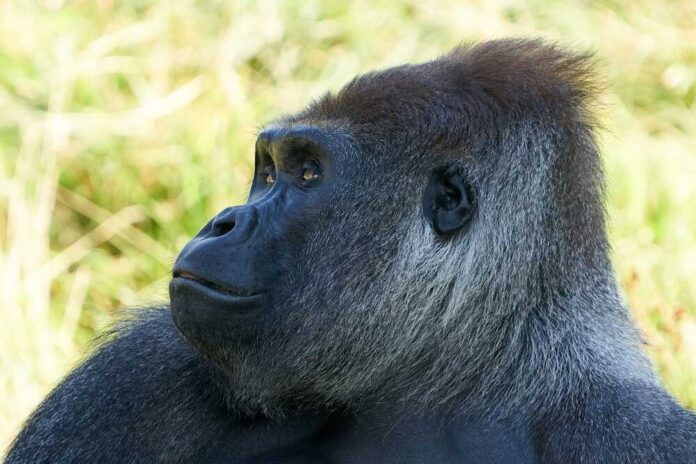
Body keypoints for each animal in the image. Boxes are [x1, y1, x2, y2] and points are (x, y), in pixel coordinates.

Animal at [6, 38, 696, 463]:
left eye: (308, 174)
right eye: (266, 171)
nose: (224, 222)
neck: (467, 377)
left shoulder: (638, 433)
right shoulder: (134, 376)